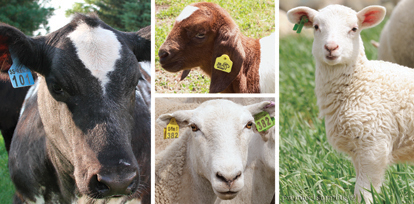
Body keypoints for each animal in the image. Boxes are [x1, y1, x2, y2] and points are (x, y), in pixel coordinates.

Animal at [288, 3, 414, 203]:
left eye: (354, 29)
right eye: (316, 27)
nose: (331, 47)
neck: (360, 83)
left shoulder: (374, 144)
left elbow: (365, 191)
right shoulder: (358, 150)